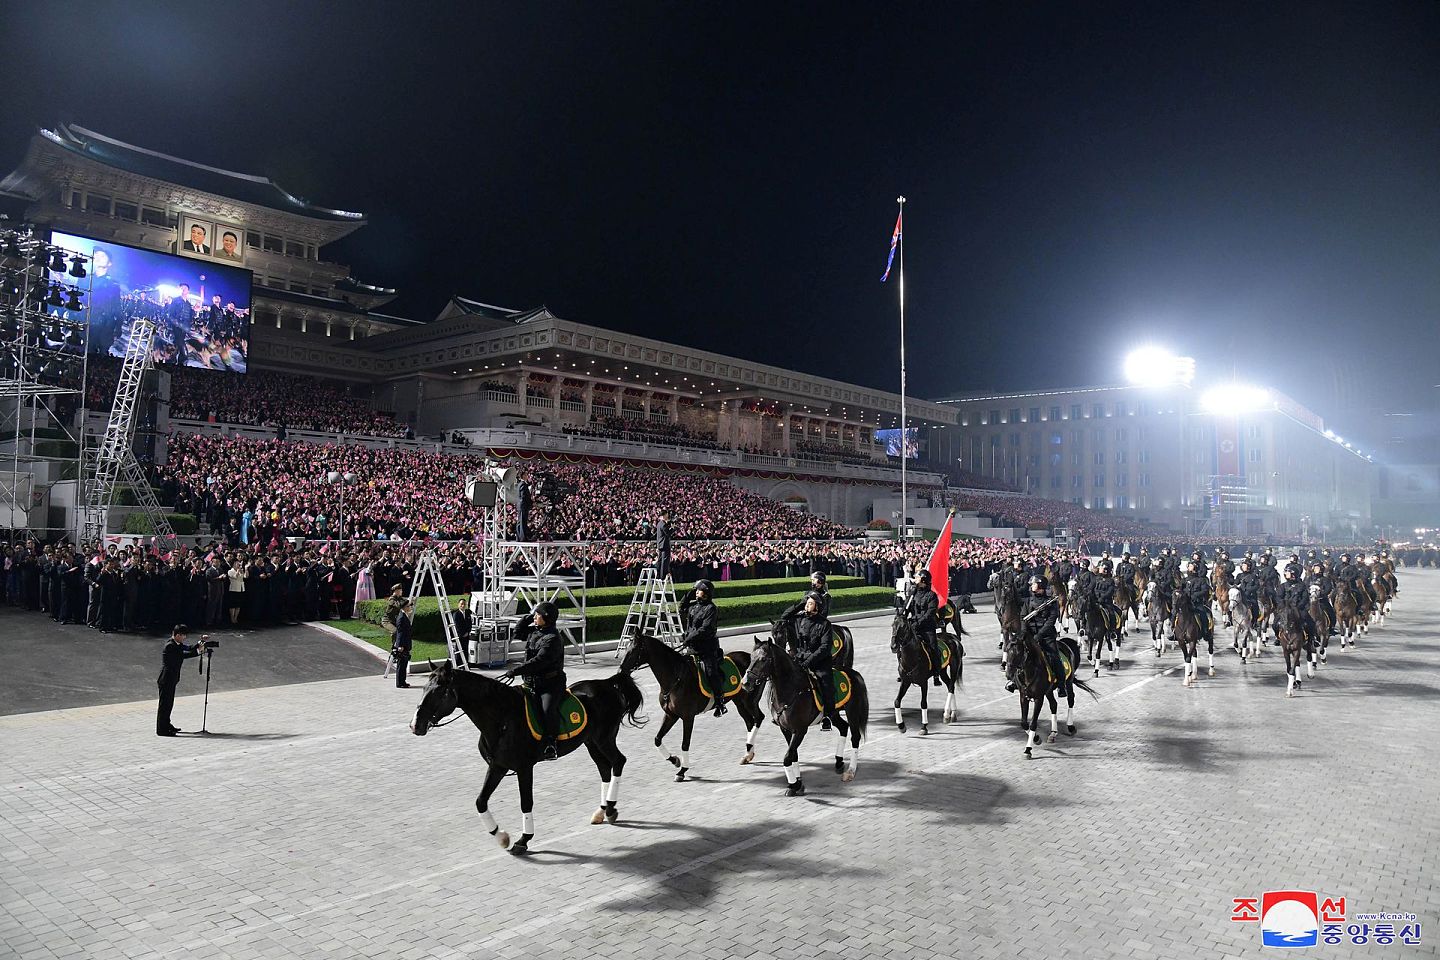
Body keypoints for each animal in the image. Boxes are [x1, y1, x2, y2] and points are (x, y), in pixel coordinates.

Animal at [411, 662, 648, 857]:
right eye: (423, 689)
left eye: (439, 691)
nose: (415, 725)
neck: (502, 717)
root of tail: (607, 684)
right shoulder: (498, 766)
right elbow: (480, 801)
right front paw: (501, 836)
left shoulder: (524, 768)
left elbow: (526, 802)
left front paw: (523, 840)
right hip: (591, 742)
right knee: (605, 768)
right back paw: (602, 810)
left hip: (604, 739)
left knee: (618, 762)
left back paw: (610, 809)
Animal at [624, 630, 771, 782]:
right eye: (626, 648)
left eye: (634, 649)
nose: (621, 669)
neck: (676, 678)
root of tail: (749, 657)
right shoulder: (670, 715)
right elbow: (657, 739)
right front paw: (674, 760)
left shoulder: (688, 717)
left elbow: (685, 744)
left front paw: (682, 770)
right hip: (739, 702)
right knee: (749, 722)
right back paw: (748, 754)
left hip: (749, 701)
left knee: (758, 718)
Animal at [743, 639, 864, 794]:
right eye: (751, 658)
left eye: (763, 659)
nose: (745, 683)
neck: (792, 690)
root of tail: (854, 673)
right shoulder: (785, 729)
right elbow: (793, 754)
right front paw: (798, 783)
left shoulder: (800, 730)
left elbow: (788, 757)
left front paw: (793, 785)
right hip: (833, 713)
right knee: (843, 727)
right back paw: (838, 762)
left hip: (852, 711)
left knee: (855, 737)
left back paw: (850, 771)